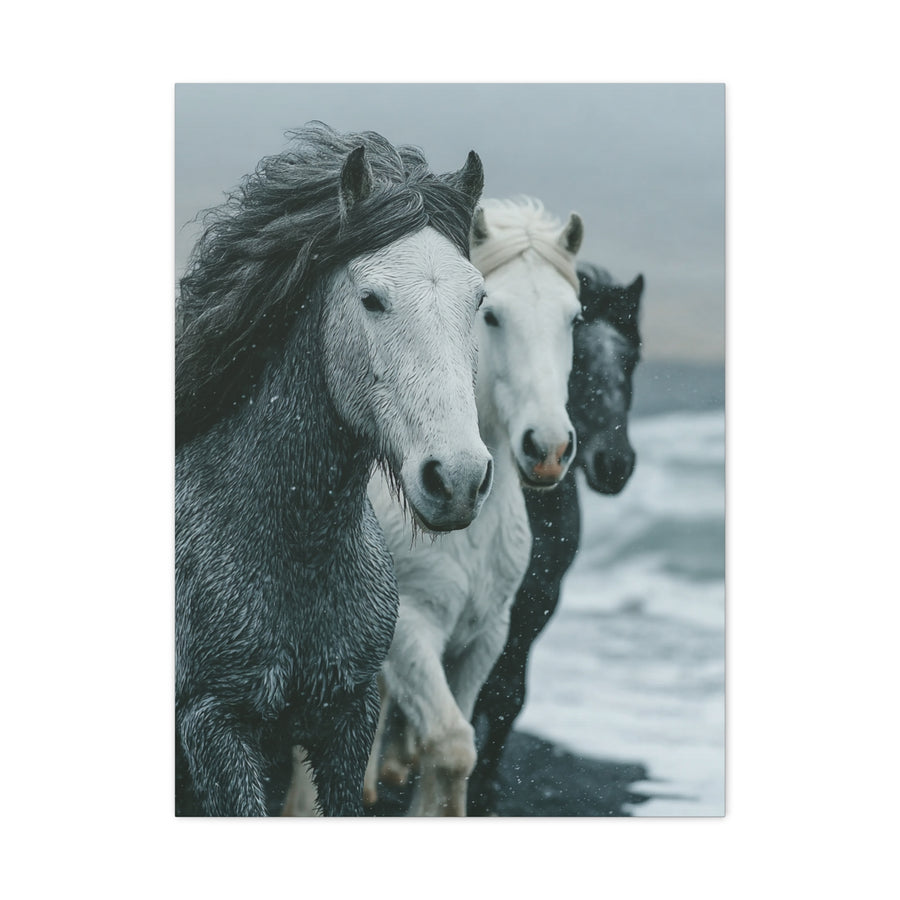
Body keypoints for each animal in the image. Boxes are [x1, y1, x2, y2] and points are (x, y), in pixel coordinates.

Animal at [360, 197, 585, 816]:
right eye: (494, 315)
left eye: (574, 318)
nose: (548, 449)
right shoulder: (409, 631)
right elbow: (452, 745)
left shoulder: (485, 637)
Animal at [467, 262, 644, 815]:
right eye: (578, 359)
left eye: (631, 360)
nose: (614, 464)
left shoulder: (537, 602)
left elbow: (506, 697)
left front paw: (484, 789)